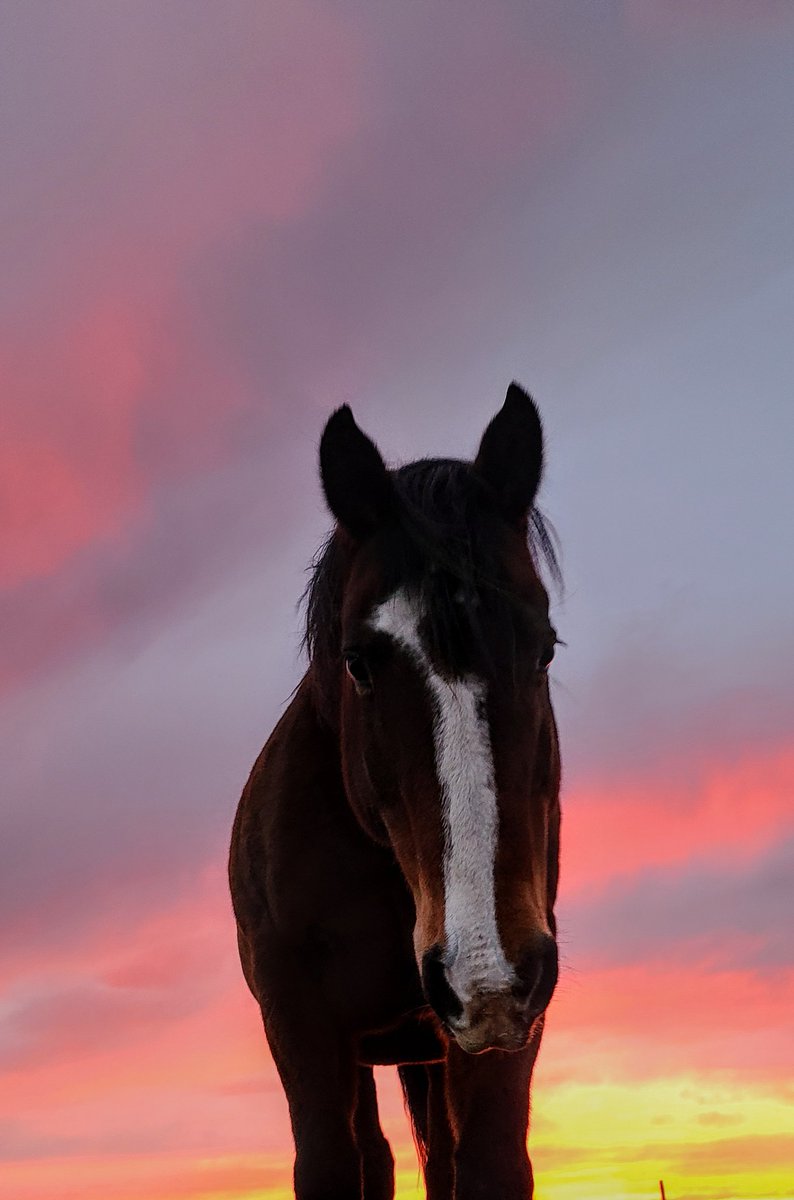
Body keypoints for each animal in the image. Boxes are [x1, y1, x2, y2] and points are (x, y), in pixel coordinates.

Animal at [229, 383, 562, 1199]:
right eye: (358, 661)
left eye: (544, 648)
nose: (485, 967)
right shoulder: (301, 1024)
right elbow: (334, 1166)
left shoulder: (506, 1022)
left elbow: (488, 1165)